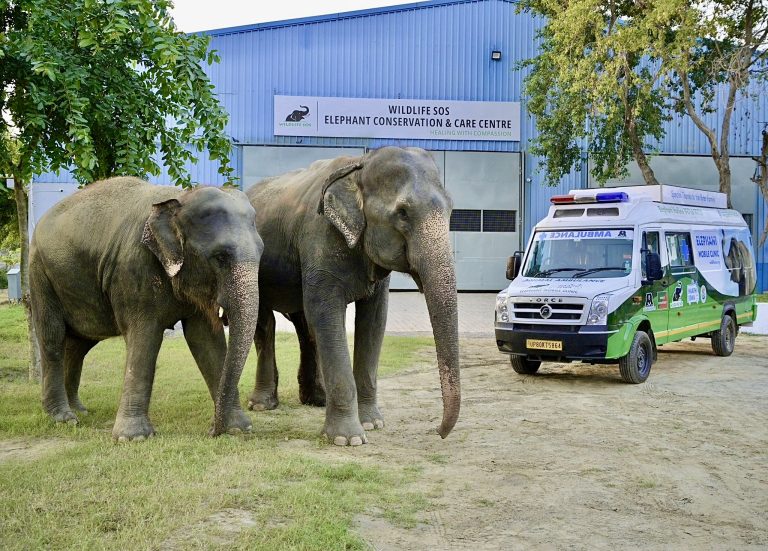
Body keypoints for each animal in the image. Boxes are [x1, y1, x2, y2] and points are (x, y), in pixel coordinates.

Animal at [29, 177, 263, 441]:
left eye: (262, 252)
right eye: (220, 257)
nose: (212, 429)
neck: (181, 197)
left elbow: (205, 340)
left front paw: (238, 428)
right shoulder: (133, 269)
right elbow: (145, 335)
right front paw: (134, 438)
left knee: (79, 344)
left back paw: (80, 411)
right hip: (40, 274)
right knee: (53, 337)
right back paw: (64, 418)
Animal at [245, 146, 461, 446]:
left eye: (451, 209)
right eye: (402, 213)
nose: (438, 431)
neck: (359, 165)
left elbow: (374, 320)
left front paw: (373, 423)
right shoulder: (319, 238)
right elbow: (326, 313)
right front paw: (348, 439)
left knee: (304, 325)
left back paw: (317, 400)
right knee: (267, 322)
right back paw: (262, 405)